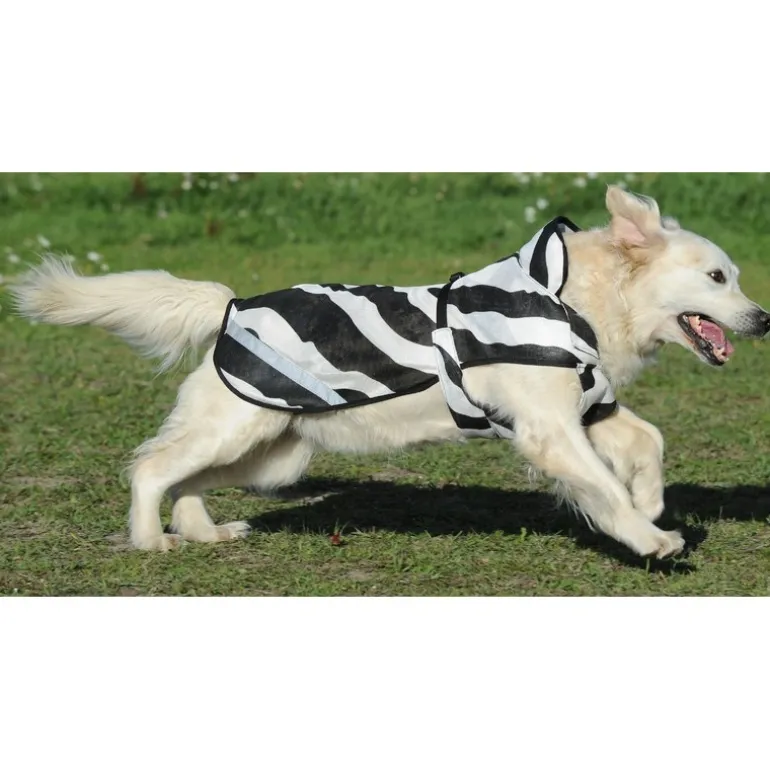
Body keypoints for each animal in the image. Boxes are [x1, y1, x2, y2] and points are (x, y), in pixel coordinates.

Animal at [11, 185, 770, 558]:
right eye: (718, 277)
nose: (762, 319)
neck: (574, 299)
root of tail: (230, 305)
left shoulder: (591, 407)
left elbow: (649, 443)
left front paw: (650, 502)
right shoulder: (550, 429)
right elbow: (603, 490)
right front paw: (651, 538)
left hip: (272, 455)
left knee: (188, 483)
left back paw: (206, 534)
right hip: (235, 431)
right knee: (151, 470)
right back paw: (150, 542)